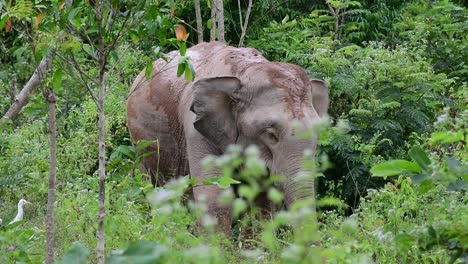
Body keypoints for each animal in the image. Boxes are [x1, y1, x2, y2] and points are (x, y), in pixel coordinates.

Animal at [126, 40, 328, 233]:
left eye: (317, 134)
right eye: (271, 135)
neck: (244, 72)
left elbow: (260, 201)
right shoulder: (197, 131)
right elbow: (215, 196)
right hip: (140, 144)